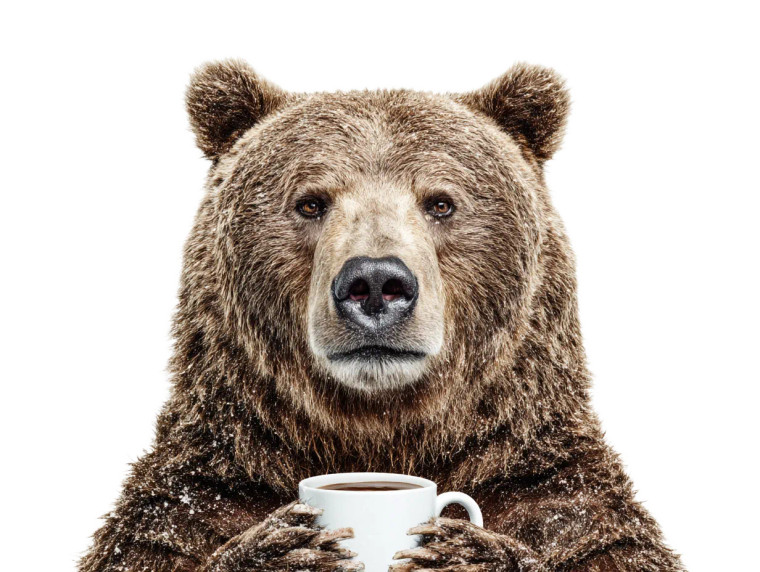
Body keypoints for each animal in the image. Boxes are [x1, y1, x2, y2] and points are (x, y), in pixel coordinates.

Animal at [79, 59, 684, 571]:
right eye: (310, 202)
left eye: (440, 202)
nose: (374, 283)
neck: (383, 435)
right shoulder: (203, 494)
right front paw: (286, 550)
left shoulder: (554, 495)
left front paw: (464, 553)